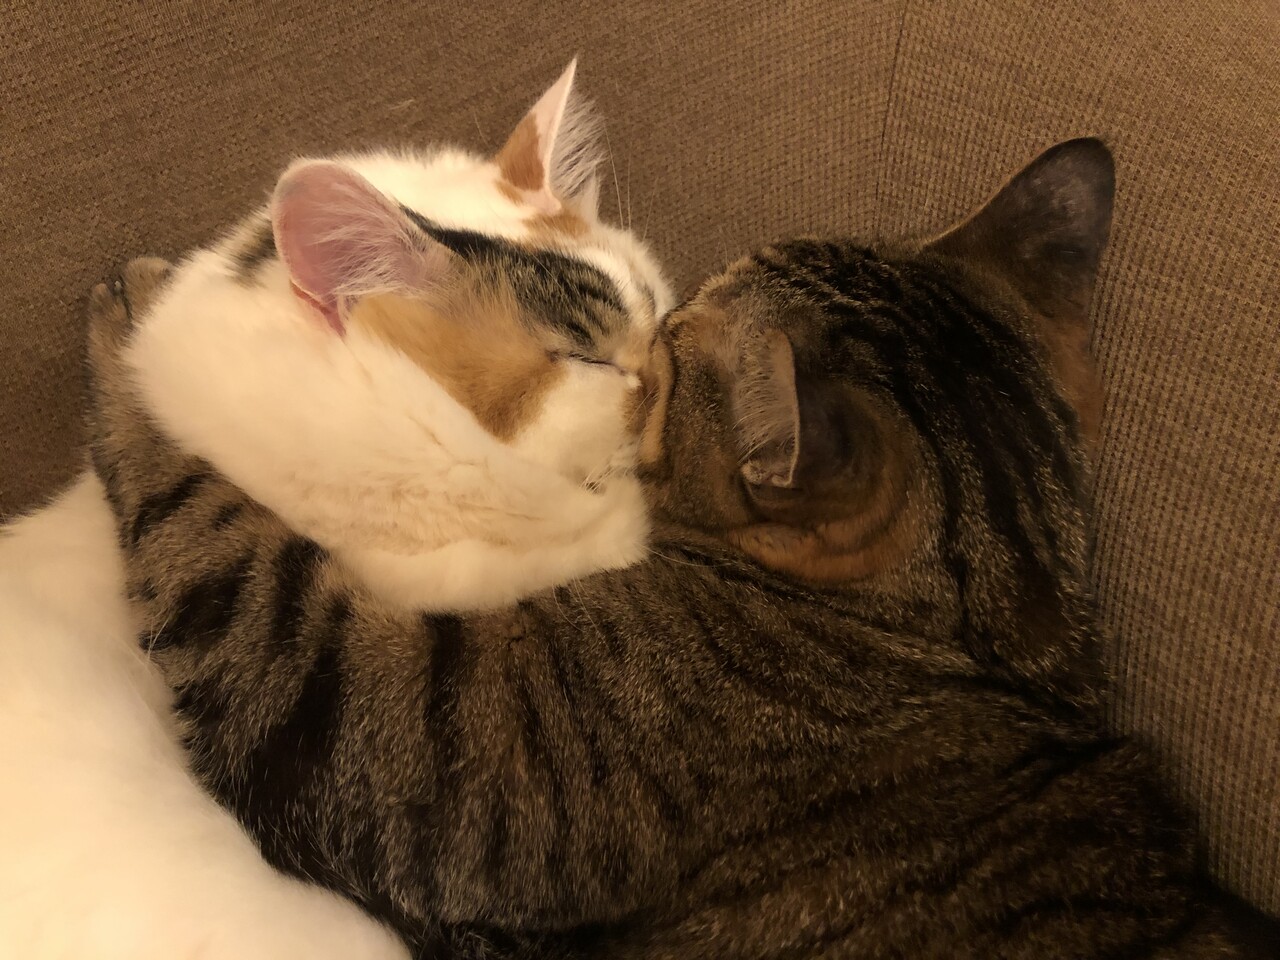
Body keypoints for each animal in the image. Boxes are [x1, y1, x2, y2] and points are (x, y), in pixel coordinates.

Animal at [86, 139, 1259, 957]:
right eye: (631, 339)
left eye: (673, 326)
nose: (656, 348)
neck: (984, 628)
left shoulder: (420, 760)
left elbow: (211, 529)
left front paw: (130, 321)